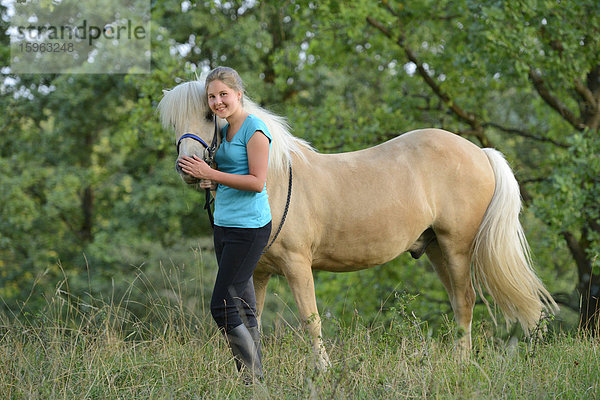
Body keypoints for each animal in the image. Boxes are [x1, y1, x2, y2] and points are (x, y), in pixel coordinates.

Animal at [156, 79, 556, 370]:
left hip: (457, 247)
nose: (188, 168)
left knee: (467, 300)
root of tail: (480, 152)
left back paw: (462, 365)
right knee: (460, 303)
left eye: (209, 114)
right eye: (173, 123)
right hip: (436, 249)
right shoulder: (257, 272)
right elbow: (246, 322)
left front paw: (323, 370)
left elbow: (311, 319)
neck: (273, 178)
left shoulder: (298, 265)